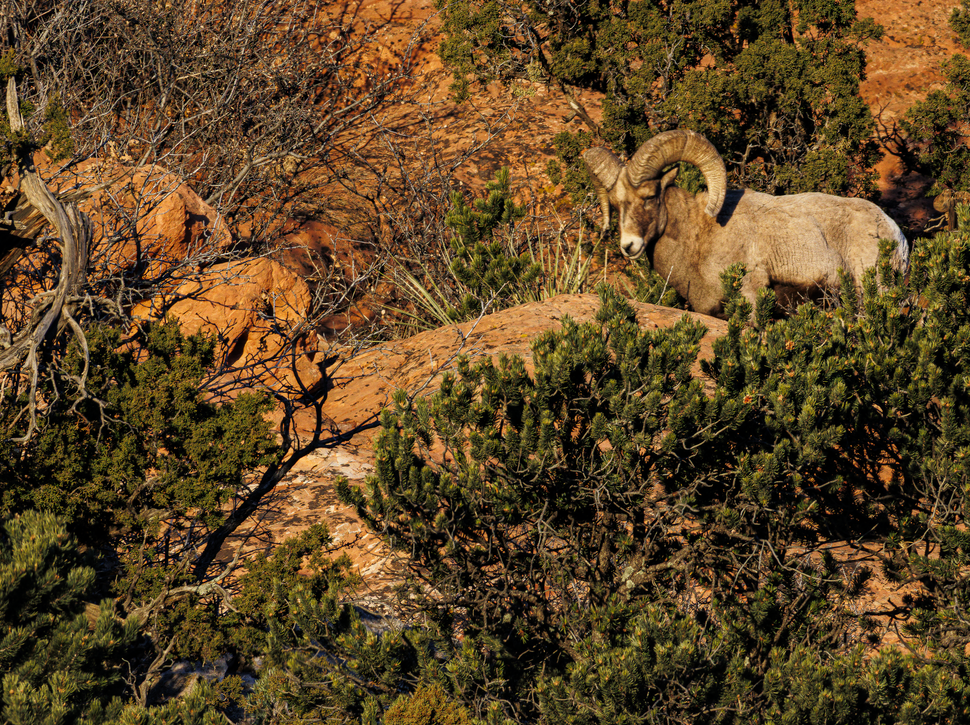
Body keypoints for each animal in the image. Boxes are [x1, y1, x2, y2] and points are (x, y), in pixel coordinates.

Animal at [584, 129, 909, 318]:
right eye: (616, 203)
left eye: (650, 196)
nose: (629, 246)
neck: (700, 237)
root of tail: (896, 236)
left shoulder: (749, 298)